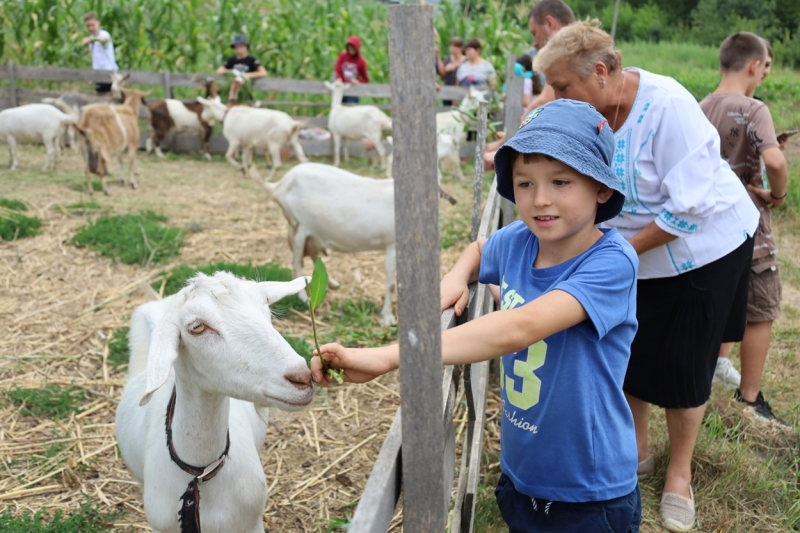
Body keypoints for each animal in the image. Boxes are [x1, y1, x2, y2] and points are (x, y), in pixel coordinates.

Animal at [260, 162, 398, 326]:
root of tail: (281, 184)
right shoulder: (392, 245)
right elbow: (391, 284)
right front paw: (388, 317)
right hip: (298, 227)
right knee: (297, 262)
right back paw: (304, 296)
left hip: (313, 234)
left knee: (314, 255)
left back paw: (331, 282)